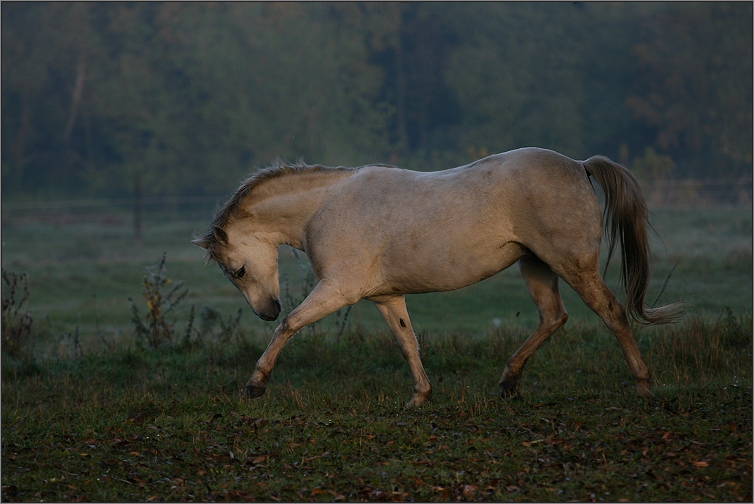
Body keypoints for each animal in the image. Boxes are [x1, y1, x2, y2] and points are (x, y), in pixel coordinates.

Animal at [192, 147, 680, 406]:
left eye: (237, 269)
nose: (266, 311)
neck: (326, 206)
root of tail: (580, 165)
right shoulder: (384, 297)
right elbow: (407, 342)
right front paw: (420, 396)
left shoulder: (339, 289)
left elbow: (293, 326)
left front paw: (255, 385)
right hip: (536, 265)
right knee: (553, 318)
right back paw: (508, 383)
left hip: (571, 264)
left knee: (611, 312)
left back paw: (643, 385)